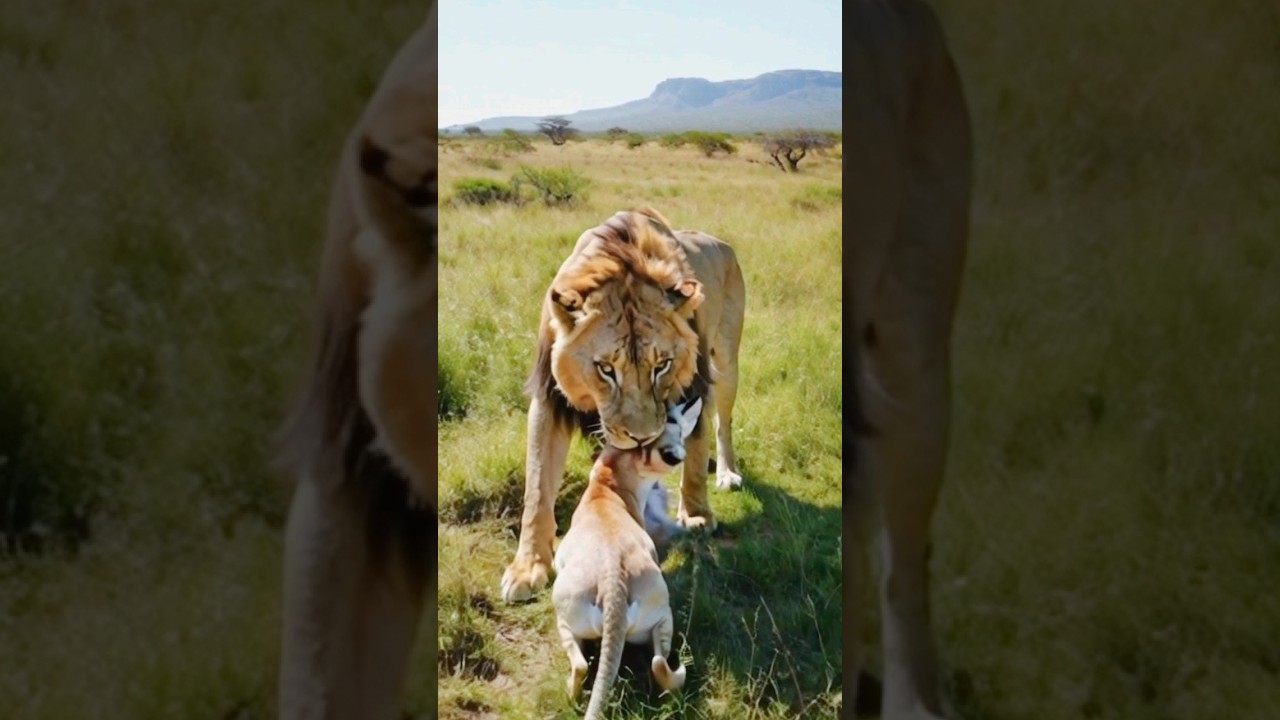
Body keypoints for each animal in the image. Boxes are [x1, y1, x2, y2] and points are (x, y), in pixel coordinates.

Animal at [501, 207, 746, 603]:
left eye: (661, 365)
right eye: (606, 369)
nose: (642, 438)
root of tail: (718, 241)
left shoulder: (696, 382)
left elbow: (695, 453)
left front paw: (696, 515)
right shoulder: (548, 398)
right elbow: (537, 488)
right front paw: (527, 568)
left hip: (726, 360)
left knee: (722, 424)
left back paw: (726, 473)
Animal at [551, 397, 700, 718]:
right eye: (672, 420)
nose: (686, 400)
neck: (606, 489)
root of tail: (613, 588)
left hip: (569, 621)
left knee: (582, 665)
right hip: (662, 616)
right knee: (659, 665)